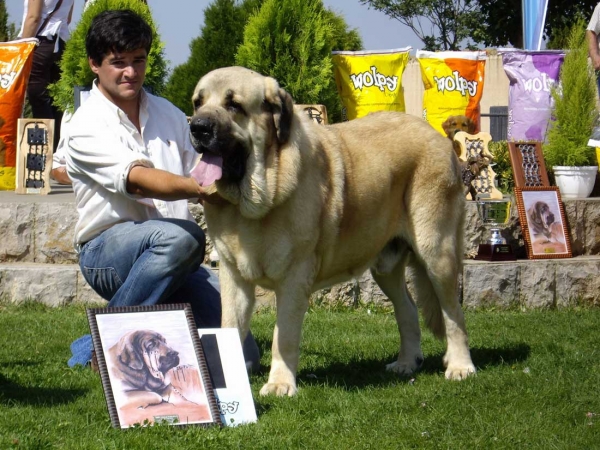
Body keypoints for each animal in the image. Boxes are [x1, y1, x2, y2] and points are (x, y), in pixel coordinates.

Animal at [190, 65, 476, 396]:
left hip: (436, 253)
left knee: (453, 312)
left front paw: (280, 383)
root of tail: (436, 136)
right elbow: (230, 327)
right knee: (407, 308)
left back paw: (460, 366)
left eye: (233, 105)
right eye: (198, 103)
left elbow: (282, 337)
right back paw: (406, 363)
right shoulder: (233, 276)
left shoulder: (294, 278)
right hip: (386, 266)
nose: (197, 127)